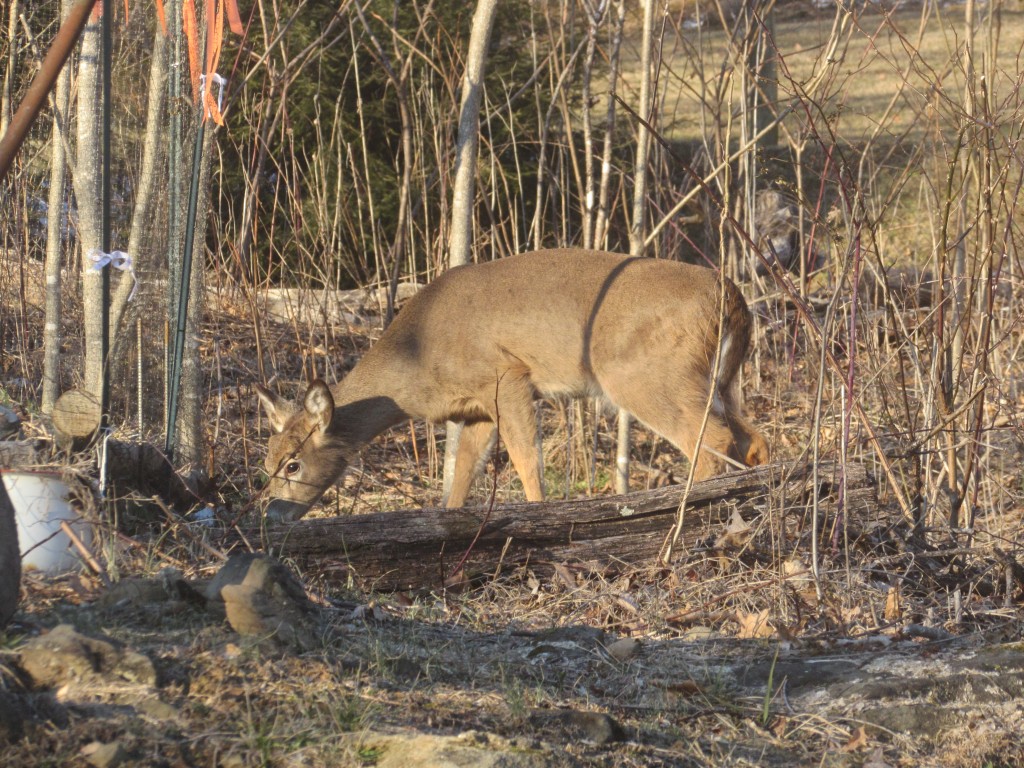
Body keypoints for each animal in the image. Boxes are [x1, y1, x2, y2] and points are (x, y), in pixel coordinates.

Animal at [256, 250, 770, 524]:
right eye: (266, 462)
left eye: (293, 464)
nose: (270, 513)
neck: (414, 360)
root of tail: (732, 297)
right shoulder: (476, 409)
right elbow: (462, 475)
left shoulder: (507, 376)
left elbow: (526, 461)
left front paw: (539, 518)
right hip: (720, 379)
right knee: (753, 437)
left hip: (647, 375)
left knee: (711, 440)